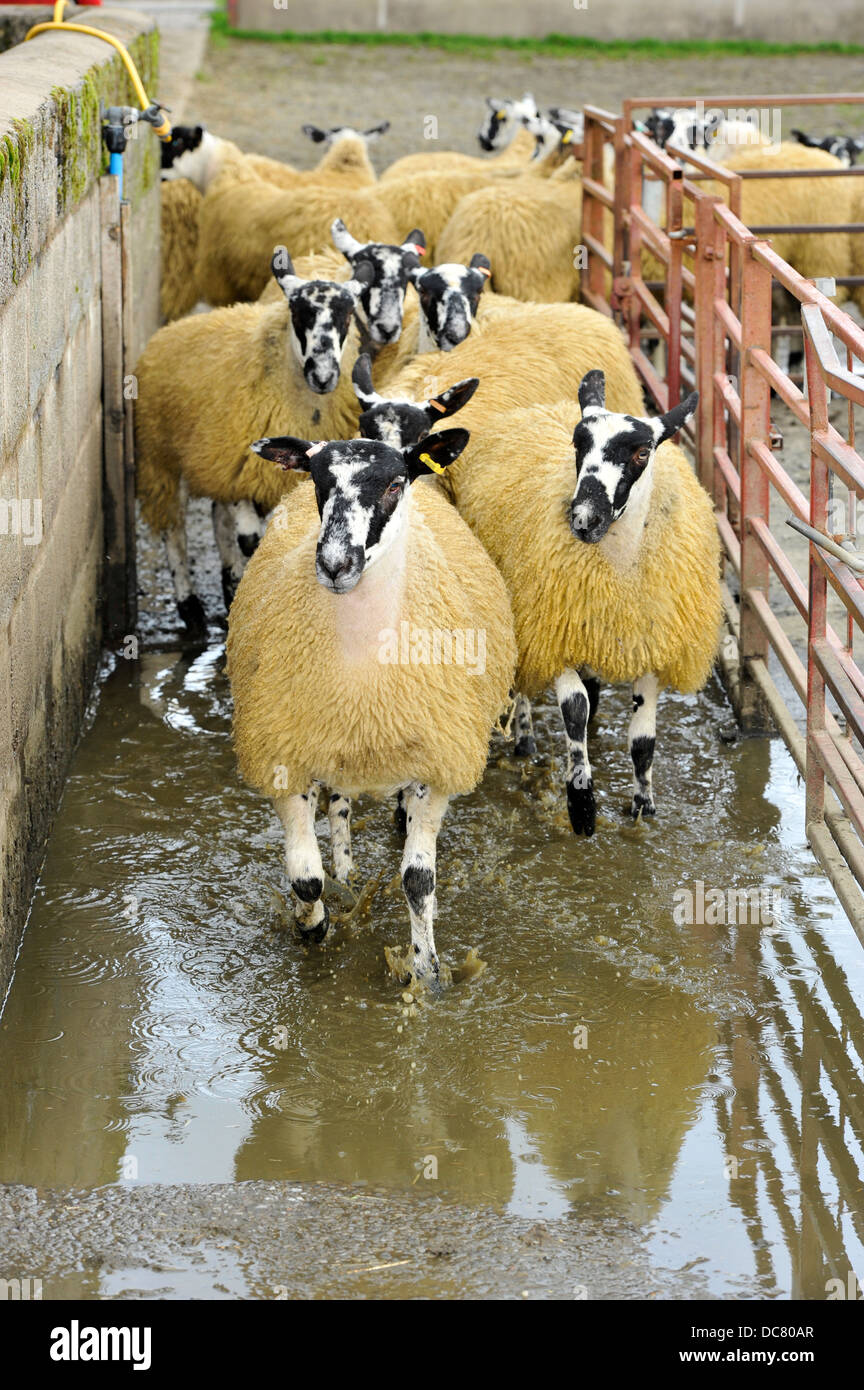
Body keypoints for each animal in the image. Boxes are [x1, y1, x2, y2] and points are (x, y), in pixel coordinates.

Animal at [135, 253, 374, 633]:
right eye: (298, 313)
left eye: (348, 315)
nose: (323, 376)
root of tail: (173, 328)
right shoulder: (241, 463)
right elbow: (249, 539)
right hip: (163, 458)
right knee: (175, 528)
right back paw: (190, 606)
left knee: (217, 516)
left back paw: (228, 581)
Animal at [226, 428, 517, 981]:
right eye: (317, 481)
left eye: (395, 484)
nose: (335, 564)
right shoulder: (284, 754)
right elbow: (305, 877)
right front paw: (313, 928)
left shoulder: (437, 764)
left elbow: (418, 881)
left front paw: (426, 971)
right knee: (337, 806)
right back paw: (345, 873)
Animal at [444, 371, 722, 835]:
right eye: (578, 445)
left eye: (643, 452)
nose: (584, 519)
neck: (620, 566)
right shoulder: (555, 632)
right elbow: (574, 709)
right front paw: (582, 803)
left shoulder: (650, 643)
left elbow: (643, 740)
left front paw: (643, 807)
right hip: (524, 612)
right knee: (525, 682)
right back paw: (525, 739)